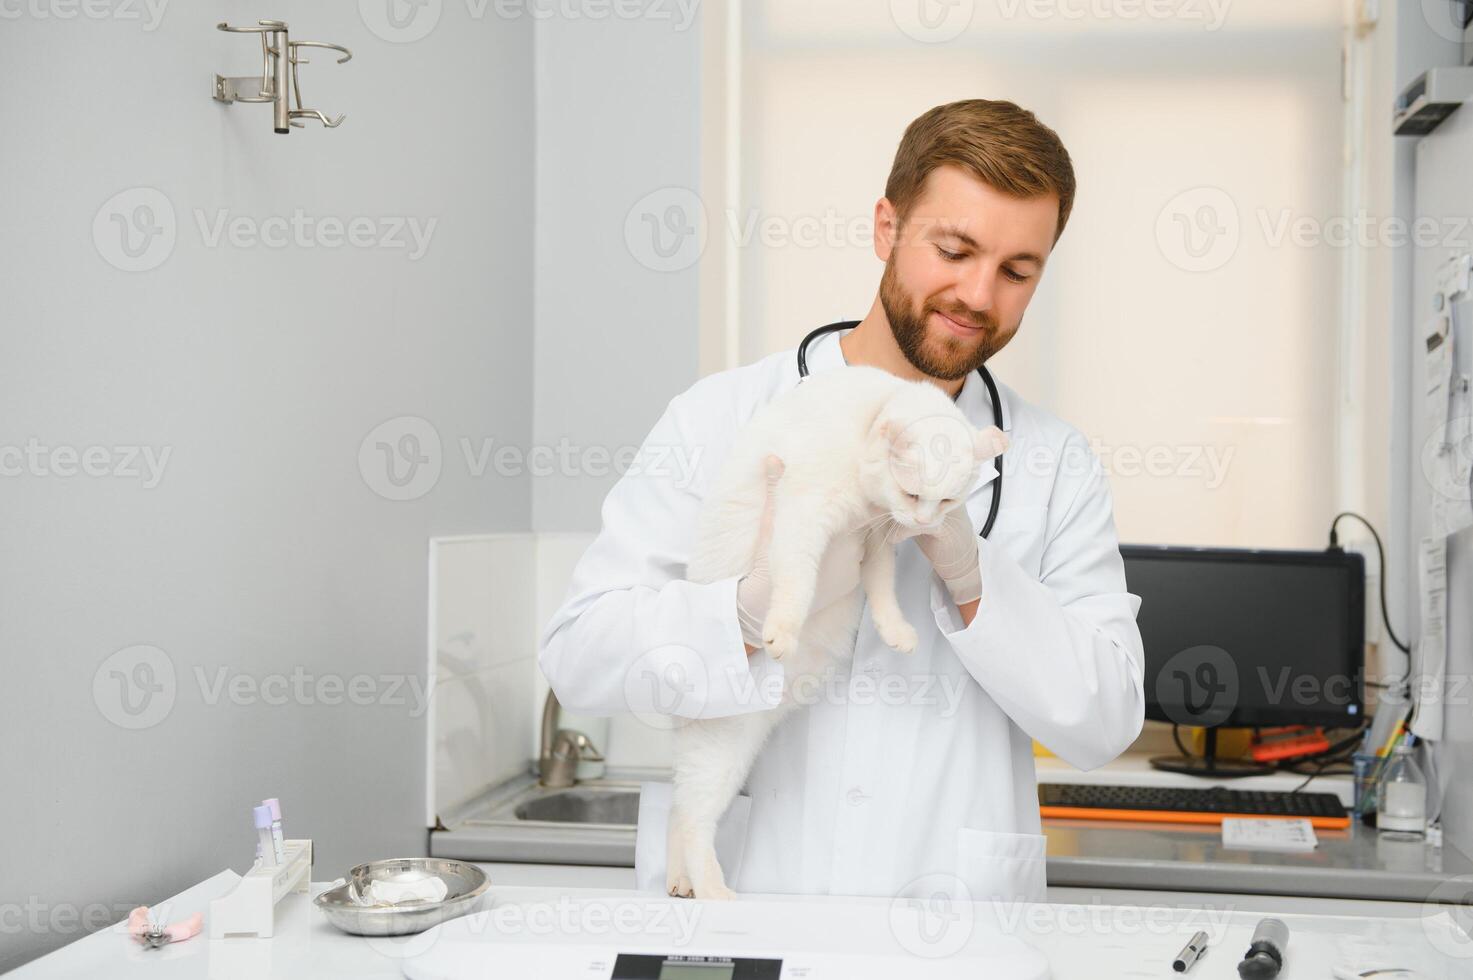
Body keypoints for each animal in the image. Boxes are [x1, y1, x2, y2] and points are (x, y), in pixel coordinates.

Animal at [671, 362, 1007, 896]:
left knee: (677, 813)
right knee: (690, 819)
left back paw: (679, 879)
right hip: (717, 748)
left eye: (947, 500)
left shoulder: (873, 538)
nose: (922, 522)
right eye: (914, 494)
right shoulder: (802, 517)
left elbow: (883, 585)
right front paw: (781, 629)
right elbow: (797, 580)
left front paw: (895, 629)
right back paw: (712, 889)